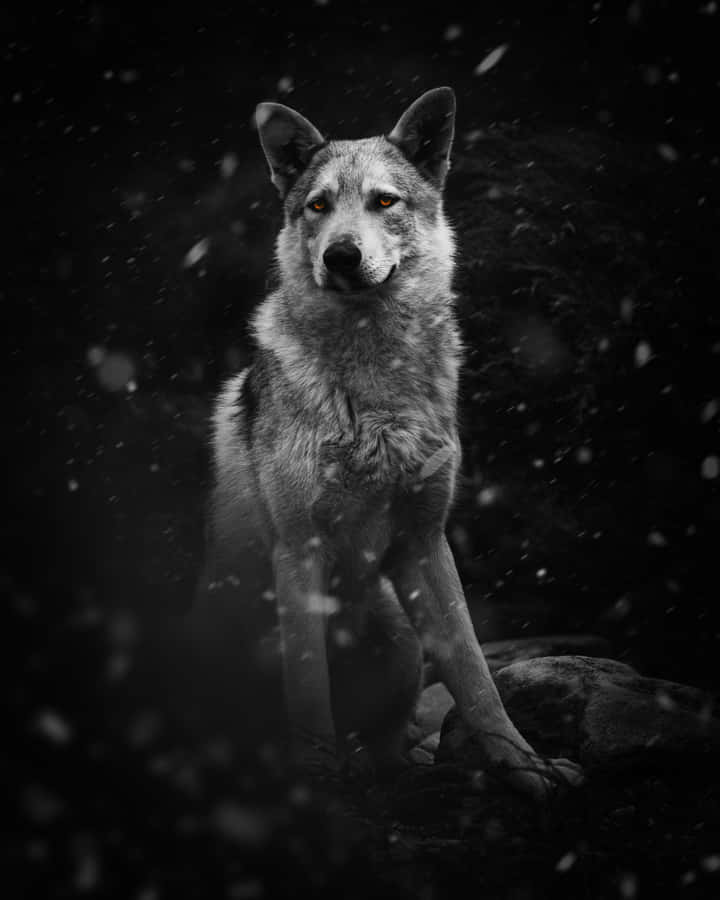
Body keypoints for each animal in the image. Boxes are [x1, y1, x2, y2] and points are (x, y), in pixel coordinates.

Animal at [202, 87, 583, 798]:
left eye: (384, 201)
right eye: (318, 206)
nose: (341, 256)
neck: (374, 394)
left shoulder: (424, 543)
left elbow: (476, 675)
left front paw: (524, 764)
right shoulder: (299, 549)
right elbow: (308, 686)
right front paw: (313, 774)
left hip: (401, 639)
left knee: (391, 743)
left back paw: (389, 764)